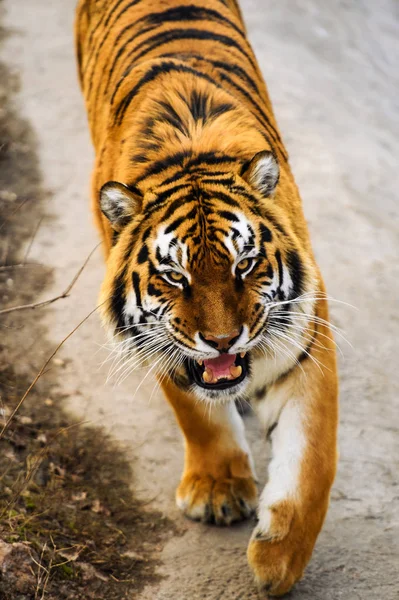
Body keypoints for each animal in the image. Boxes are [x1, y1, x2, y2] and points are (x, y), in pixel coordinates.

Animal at [75, 0, 338, 592]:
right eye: (175, 277)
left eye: (245, 264)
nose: (222, 341)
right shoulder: (161, 342)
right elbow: (196, 410)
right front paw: (218, 492)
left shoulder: (305, 338)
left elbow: (312, 458)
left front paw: (279, 560)